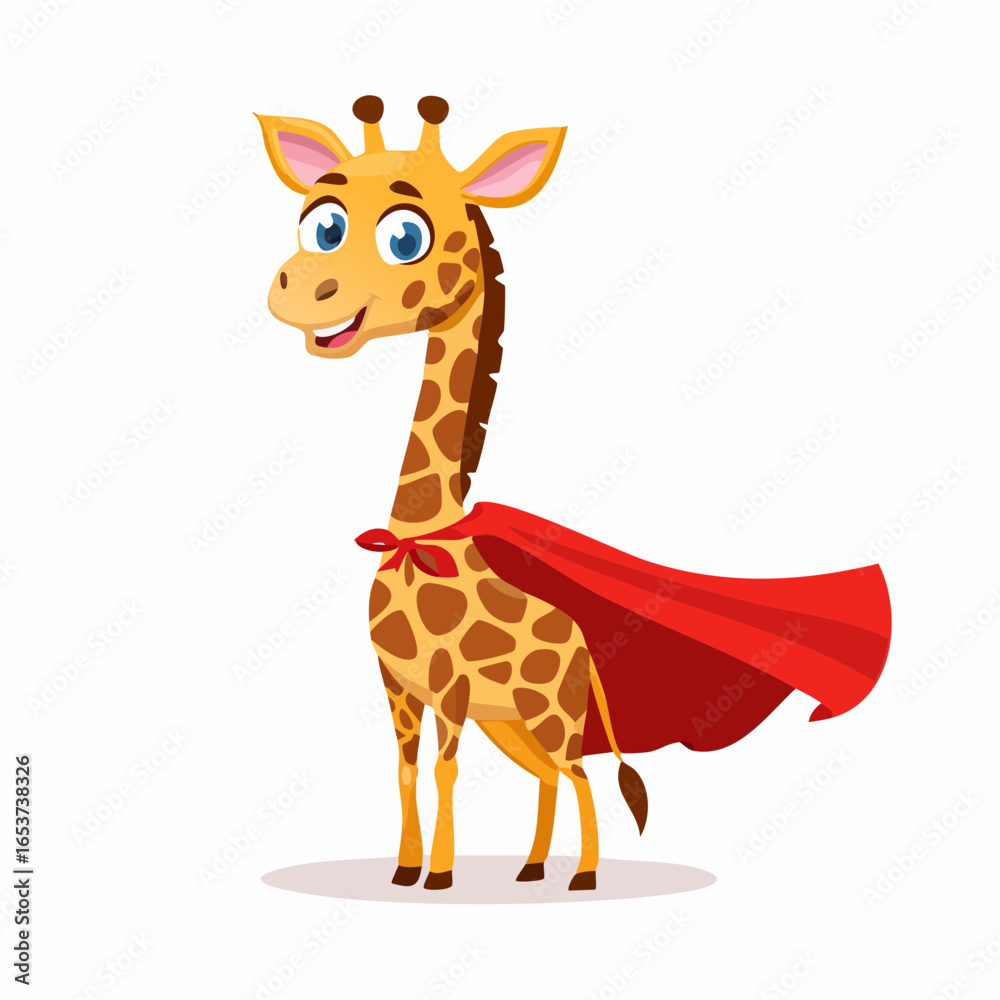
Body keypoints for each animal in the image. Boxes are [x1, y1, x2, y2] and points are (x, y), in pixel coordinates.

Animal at [255, 95, 647, 891]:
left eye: (405, 236)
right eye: (323, 221)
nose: (300, 288)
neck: (420, 534)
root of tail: (585, 648)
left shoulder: (451, 687)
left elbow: (443, 771)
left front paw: (438, 874)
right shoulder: (399, 686)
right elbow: (407, 771)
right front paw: (406, 870)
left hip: (552, 715)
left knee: (580, 774)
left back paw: (582, 875)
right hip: (515, 720)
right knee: (549, 776)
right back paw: (531, 868)